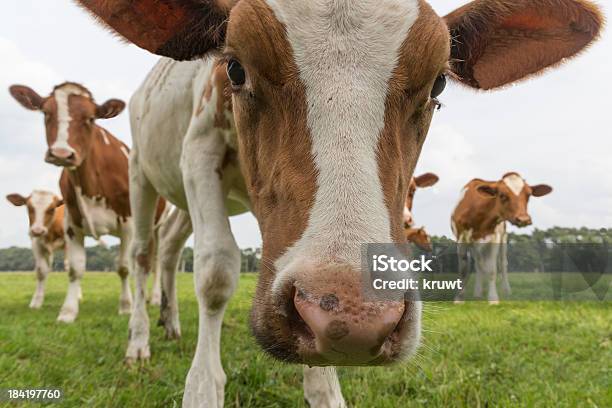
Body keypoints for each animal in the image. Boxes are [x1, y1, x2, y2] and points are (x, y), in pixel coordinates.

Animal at [9, 82, 167, 322]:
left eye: (91, 118)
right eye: (46, 112)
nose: (62, 153)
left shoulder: (128, 224)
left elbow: (123, 268)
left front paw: (126, 306)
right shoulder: (72, 224)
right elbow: (75, 269)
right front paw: (68, 312)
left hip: (157, 226)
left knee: (155, 262)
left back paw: (155, 298)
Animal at [450, 171, 556, 302]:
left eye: (528, 195)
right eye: (502, 195)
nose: (523, 219)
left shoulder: (494, 238)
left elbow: (492, 269)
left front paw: (493, 298)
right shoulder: (461, 239)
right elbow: (464, 269)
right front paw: (459, 298)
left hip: (503, 239)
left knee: (502, 263)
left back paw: (506, 291)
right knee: (478, 264)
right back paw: (478, 293)